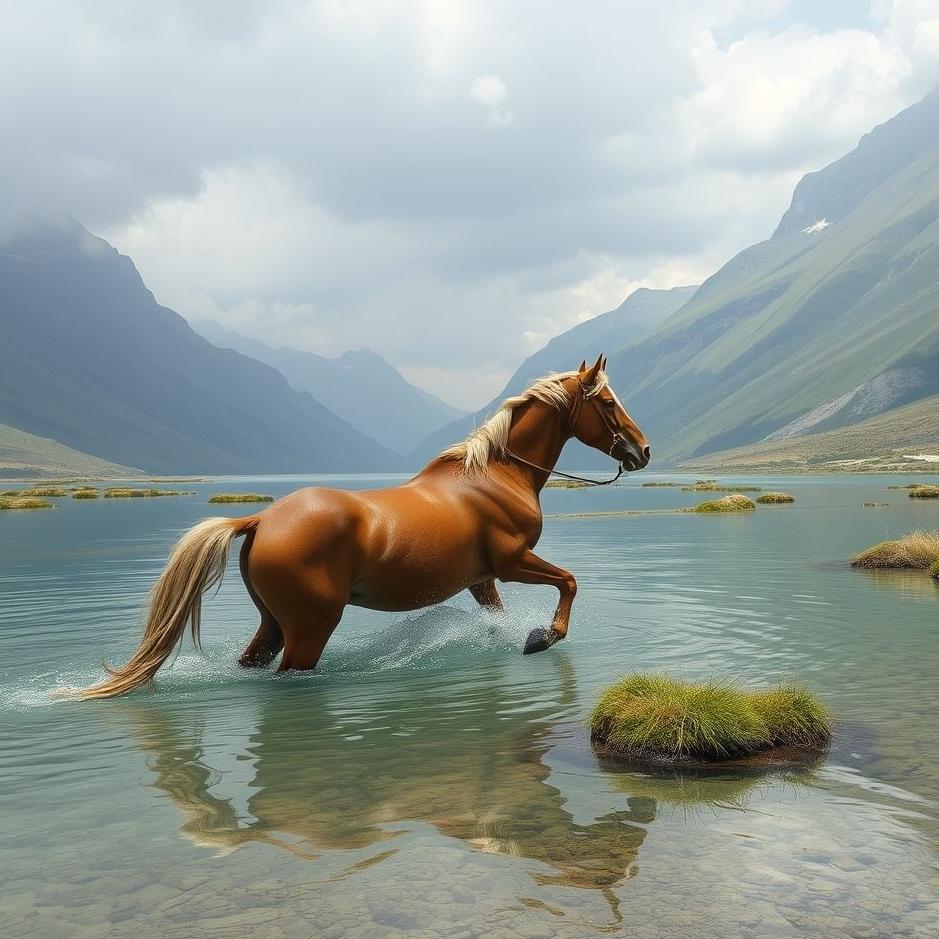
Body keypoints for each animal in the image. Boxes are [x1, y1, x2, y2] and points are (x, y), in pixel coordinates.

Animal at [75, 354, 650, 699]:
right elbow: (569, 581)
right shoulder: (512, 563)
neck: (496, 475)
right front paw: (542, 636)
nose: (642, 450)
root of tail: (261, 518)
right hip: (309, 630)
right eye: (606, 402)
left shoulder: (482, 579)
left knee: (253, 661)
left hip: (273, 623)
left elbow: (497, 616)